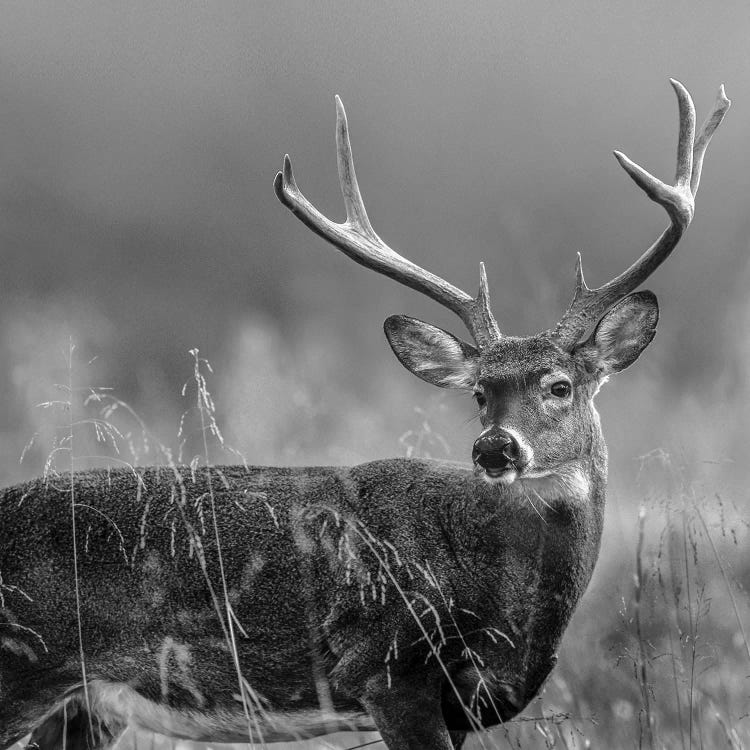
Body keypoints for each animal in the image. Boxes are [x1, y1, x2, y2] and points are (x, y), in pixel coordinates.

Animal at [0, 79, 732, 748]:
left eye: (560, 386)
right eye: (478, 393)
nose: (495, 448)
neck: (514, 611)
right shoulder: (387, 670)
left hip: (82, 711)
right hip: (22, 672)